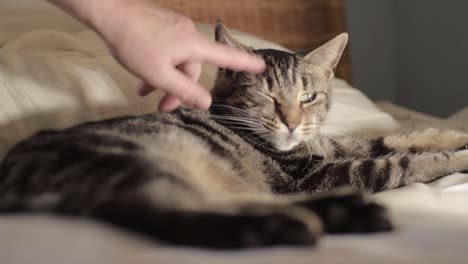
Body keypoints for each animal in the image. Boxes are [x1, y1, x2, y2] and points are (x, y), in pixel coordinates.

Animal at [0, 22, 468, 248]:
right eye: (266, 96)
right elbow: (398, 161)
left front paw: (453, 136)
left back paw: (339, 214)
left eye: (309, 96)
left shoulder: (333, 146)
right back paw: (292, 227)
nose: (292, 122)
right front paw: (456, 158)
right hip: (129, 163)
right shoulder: (320, 174)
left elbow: (400, 137)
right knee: (161, 214)